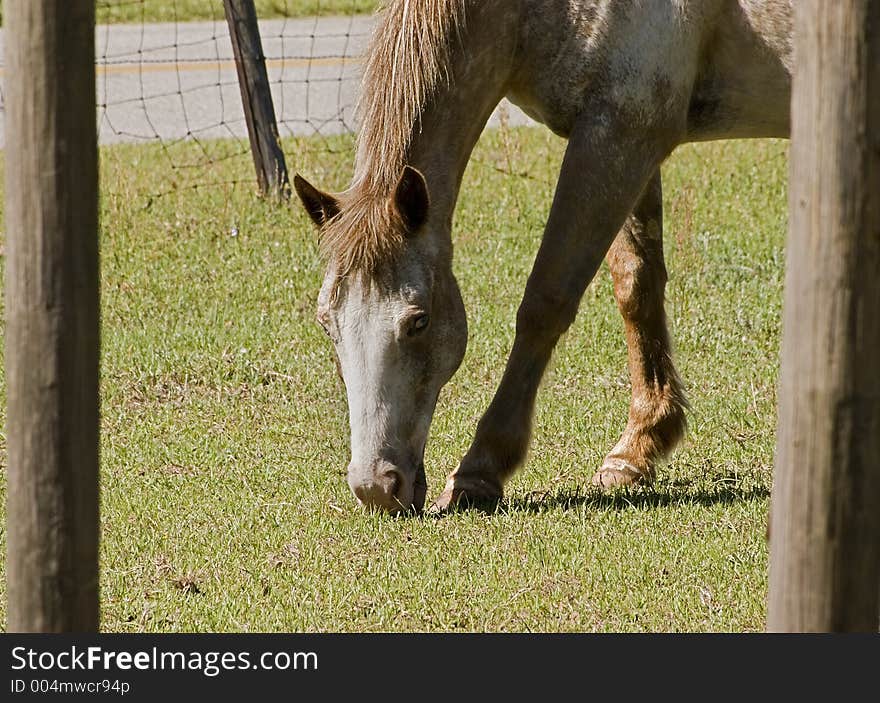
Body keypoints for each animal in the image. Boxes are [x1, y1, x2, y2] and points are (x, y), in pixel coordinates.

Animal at [294, 1, 792, 516]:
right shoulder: (627, 143)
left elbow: (545, 302)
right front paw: (637, 449)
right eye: (326, 323)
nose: (375, 486)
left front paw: (480, 470)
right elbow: (636, 284)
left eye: (419, 321)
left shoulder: (617, 134)